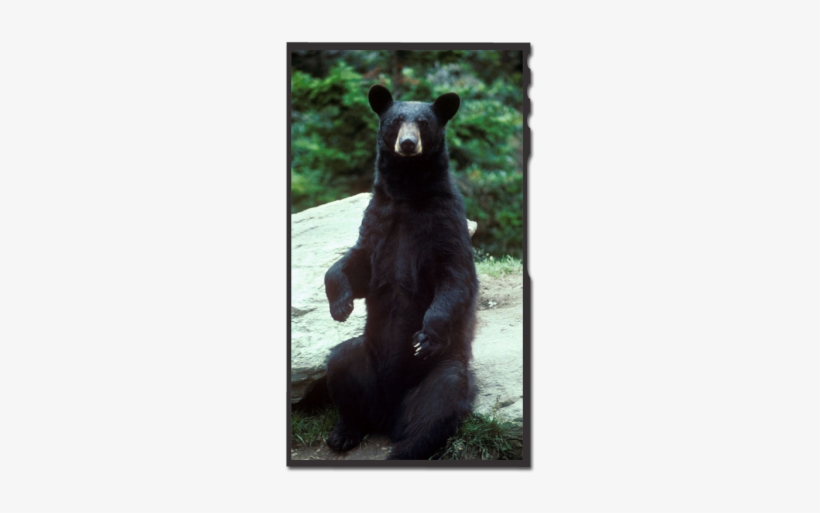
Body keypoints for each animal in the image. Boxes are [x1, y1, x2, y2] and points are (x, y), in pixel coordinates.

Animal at [323, 84, 479, 460]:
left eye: (423, 122)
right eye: (395, 121)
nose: (407, 144)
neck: (408, 194)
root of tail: (388, 415)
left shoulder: (445, 221)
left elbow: (455, 277)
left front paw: (426, 334)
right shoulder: (380, 217)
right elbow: (357, 262)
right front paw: (341, 305)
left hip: (438, 372)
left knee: (440, 400)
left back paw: (406, 448)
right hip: (366, 359)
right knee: (341, 363)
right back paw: (344, 433)